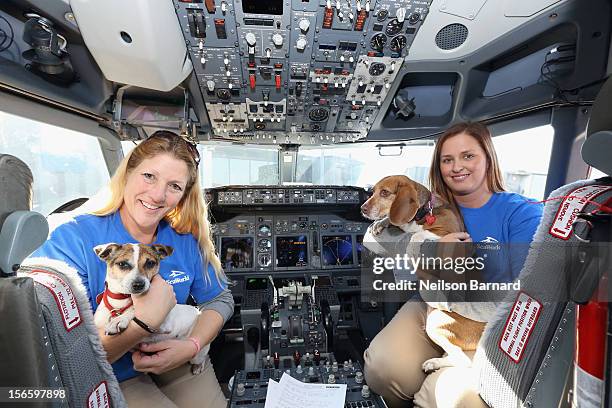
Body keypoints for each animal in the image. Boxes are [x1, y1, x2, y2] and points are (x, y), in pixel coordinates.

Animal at [93, 244, 210, 374]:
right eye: (122, 264)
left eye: (150, 263)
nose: (138, 284)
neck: (121, 303)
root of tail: (198, 311)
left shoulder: (163, 325)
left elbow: (133, 309)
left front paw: (120, 319)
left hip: (198, 352)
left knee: (202, 357)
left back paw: (198, 366)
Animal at [360, 175, 486, 372]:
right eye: (372, 192)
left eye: (385, 193)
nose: (362, 209)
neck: (424, 212)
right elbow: (394, 220)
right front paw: (380, 224)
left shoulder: (448, 234)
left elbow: (417, 235)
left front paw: (411, 248)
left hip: (437, 321)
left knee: (464, 361)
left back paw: (434, 362)